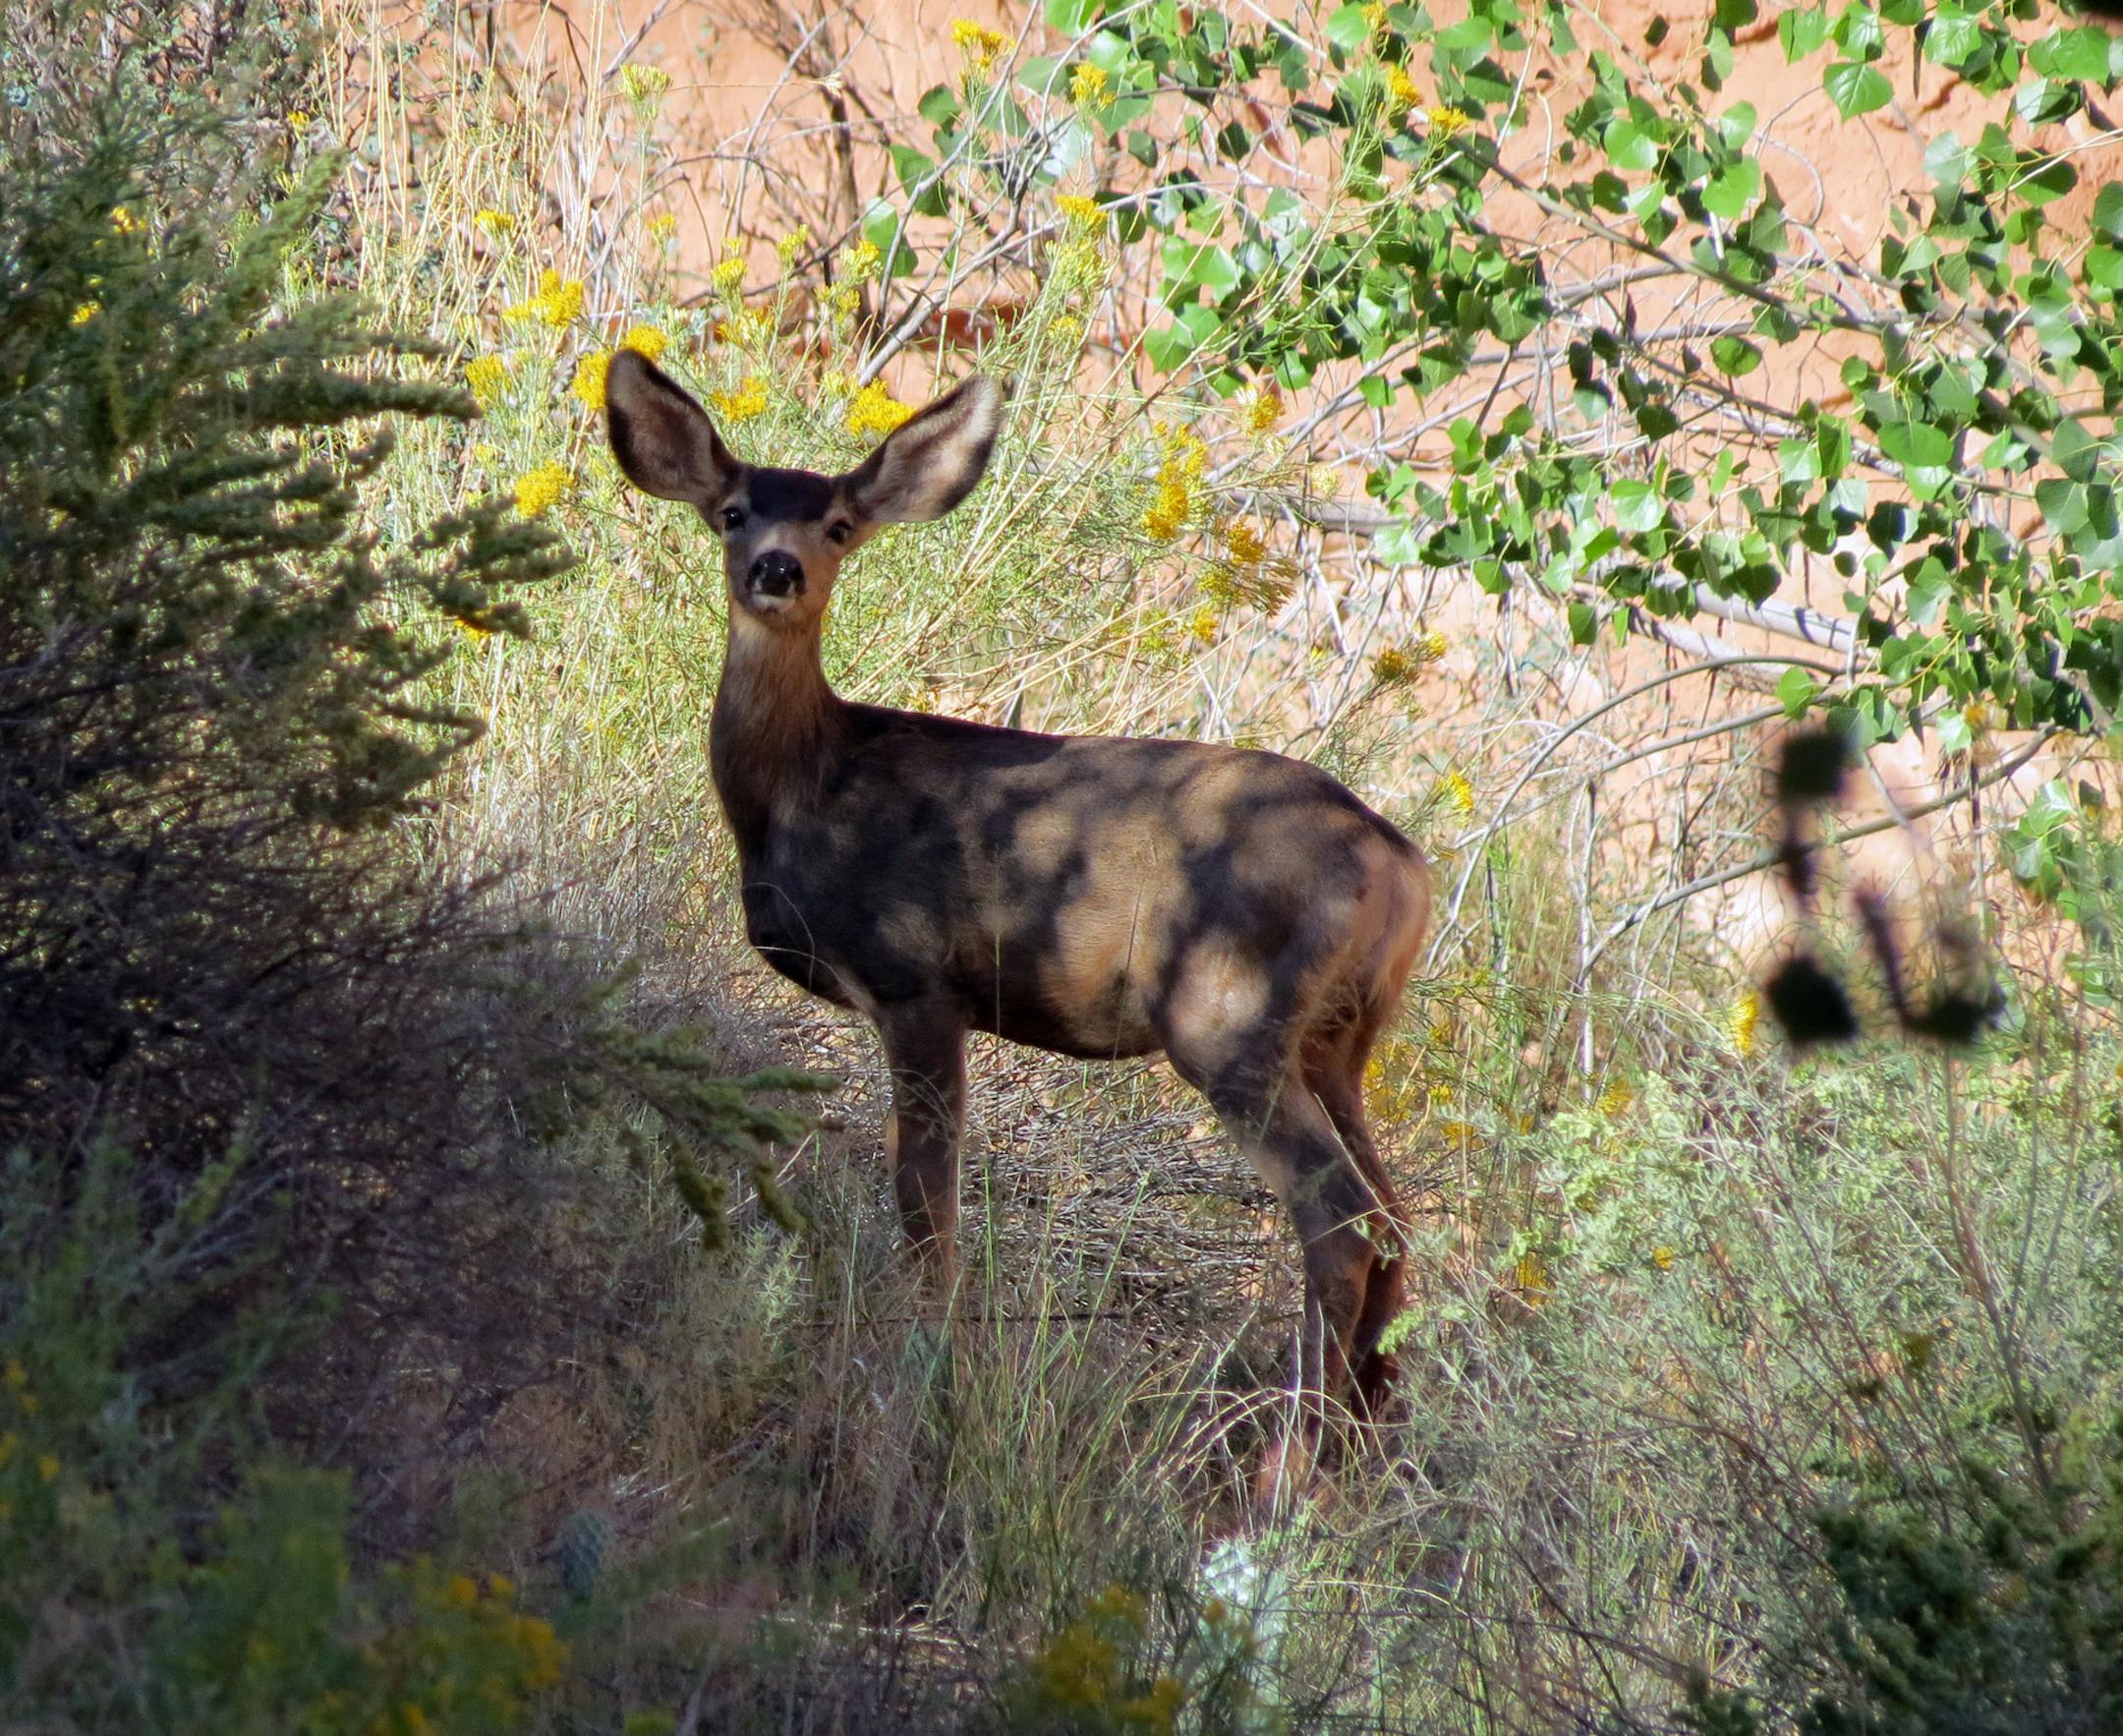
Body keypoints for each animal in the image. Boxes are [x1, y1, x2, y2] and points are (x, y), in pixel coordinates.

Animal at [604, 349, 1430, 1423]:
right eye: (734, 510)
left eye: (838, 524)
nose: (775, 571)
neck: (808, 784)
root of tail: (1399, 862)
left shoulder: (913, 976)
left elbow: (925, 1204)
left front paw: (927, 1382)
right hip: (1340, 1040)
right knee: (1396, 1220)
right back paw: (1363, 1433)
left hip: (1229, 1015)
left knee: (1340, 1220)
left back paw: (1291, 1455)